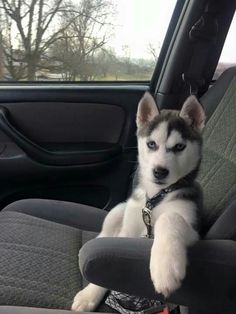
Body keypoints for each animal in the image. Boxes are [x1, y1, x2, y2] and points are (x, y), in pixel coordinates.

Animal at [72, 91, 205, 312]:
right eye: (151, 144)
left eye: (179, 147)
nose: (160, 171)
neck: (156, 197)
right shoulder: (127, 231)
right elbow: (104, 255)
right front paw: (89, 294)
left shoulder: (194, 229)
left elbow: (170, 217)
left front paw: (165, 266)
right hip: (120, 209)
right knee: (106, 232)